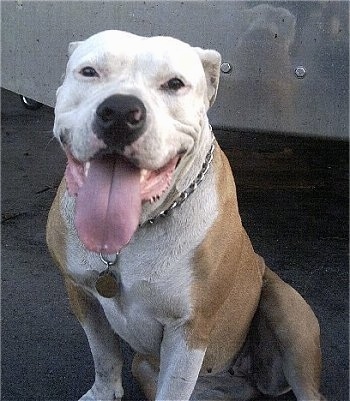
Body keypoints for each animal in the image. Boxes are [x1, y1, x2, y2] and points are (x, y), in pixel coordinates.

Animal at [47, 31, 326, 400]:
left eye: (174, 84)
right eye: (89, 72)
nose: (120, 111)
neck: (136, 229)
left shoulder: (189, 329)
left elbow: (173, 387)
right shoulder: (81, 294)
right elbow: (104, 355)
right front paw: (103, 392)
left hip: (288, 313)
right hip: (144, 366)